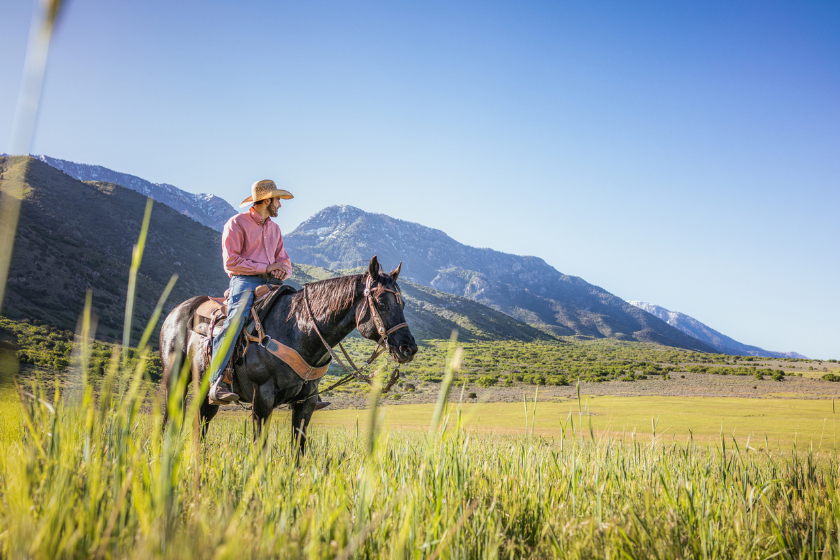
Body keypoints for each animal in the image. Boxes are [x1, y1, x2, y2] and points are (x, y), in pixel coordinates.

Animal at [158, 258, 416, 456]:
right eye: (381, 303)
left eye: (403, 303)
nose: (409, 348)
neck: (298, 330)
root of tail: (178, 311)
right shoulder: (262, 397)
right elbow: (259, 447)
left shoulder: (306, 401)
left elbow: (297, 450)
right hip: (176, 380)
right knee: (172, 419)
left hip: (207, 392)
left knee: (203, 422)